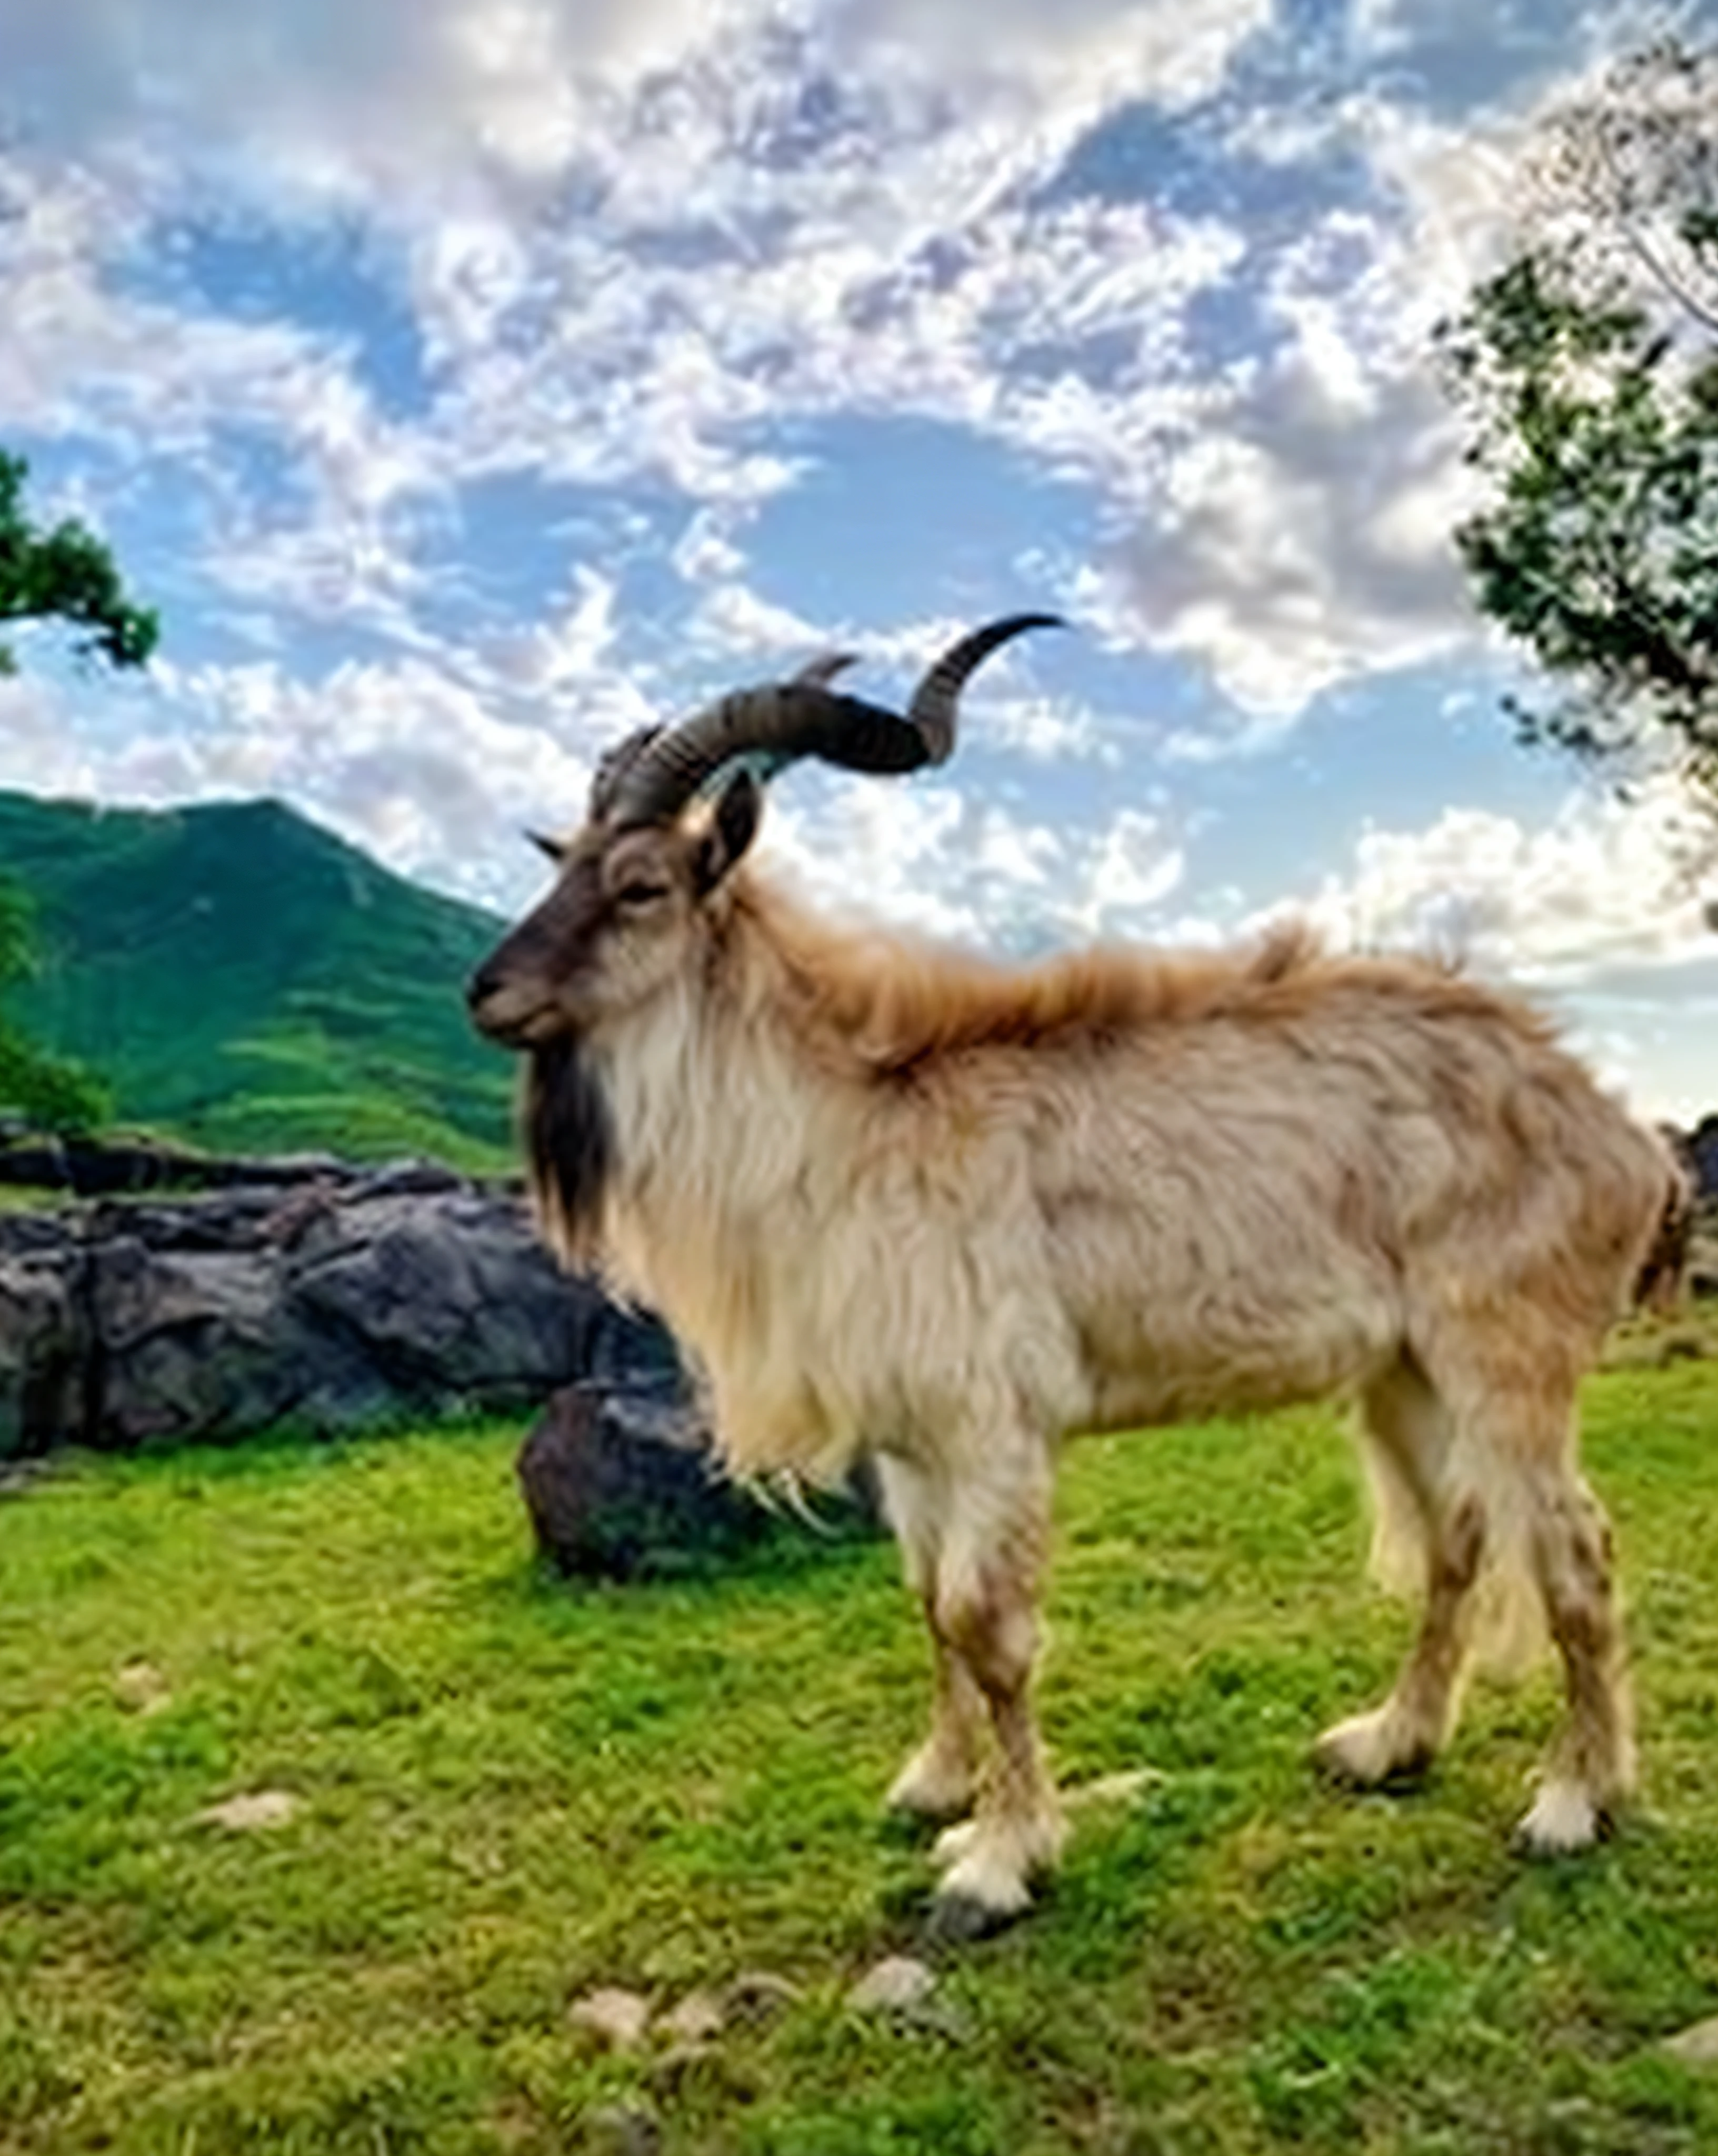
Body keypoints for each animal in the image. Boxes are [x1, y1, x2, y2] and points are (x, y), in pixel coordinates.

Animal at [468, 617, 1678, 1939]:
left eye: (640, 885)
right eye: (560, 863)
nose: (486, 991)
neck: (846, 1126)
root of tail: (1626, 1138)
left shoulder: (992, 1426)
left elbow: (983, 1624)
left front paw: (999, 1860)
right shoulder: (909, 1446)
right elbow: (923, 1603)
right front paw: (933, 1785)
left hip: (1507, 1355)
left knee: (1576, 1547)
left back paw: (1574, 1801)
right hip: (1402, 1373)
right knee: (1454, 1534)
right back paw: (1387, 1742)